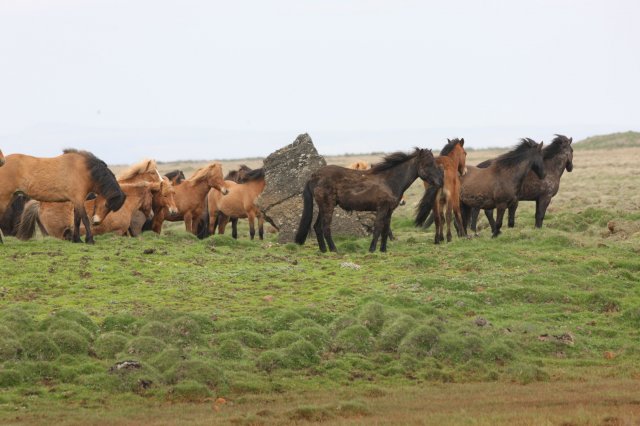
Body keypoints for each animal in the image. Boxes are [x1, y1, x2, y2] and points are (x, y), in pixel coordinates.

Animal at [298, 148, 442, 253]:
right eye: (428, 164)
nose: (440, 182)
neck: (389, 180)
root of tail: (314, 176)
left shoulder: (389, 211)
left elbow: (385, 230)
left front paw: (383, 250)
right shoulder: (382, 208)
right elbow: (378, 228)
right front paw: (372, 249)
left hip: (323, 207)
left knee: (317, 227)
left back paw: (323, 250)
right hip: (328, 206)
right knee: (325, 227)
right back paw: (334, 250)